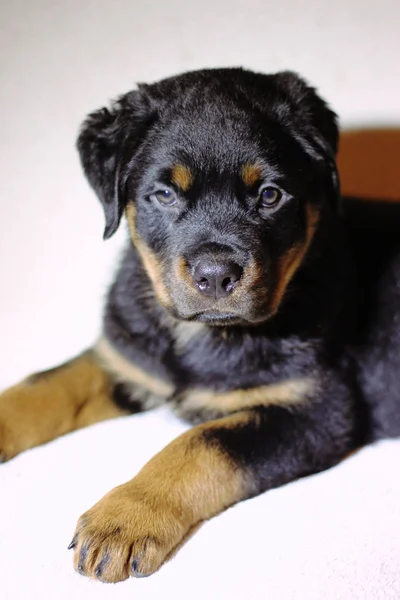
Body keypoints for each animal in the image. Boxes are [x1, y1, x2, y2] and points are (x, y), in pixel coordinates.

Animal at [0, 68, 400, 584]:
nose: (215, 274)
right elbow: (45, 386)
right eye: (164, 194)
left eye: (270, 195)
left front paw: (125, 516)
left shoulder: (317, 410)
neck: (201, 335)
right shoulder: (127, 356)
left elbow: (200, 443)